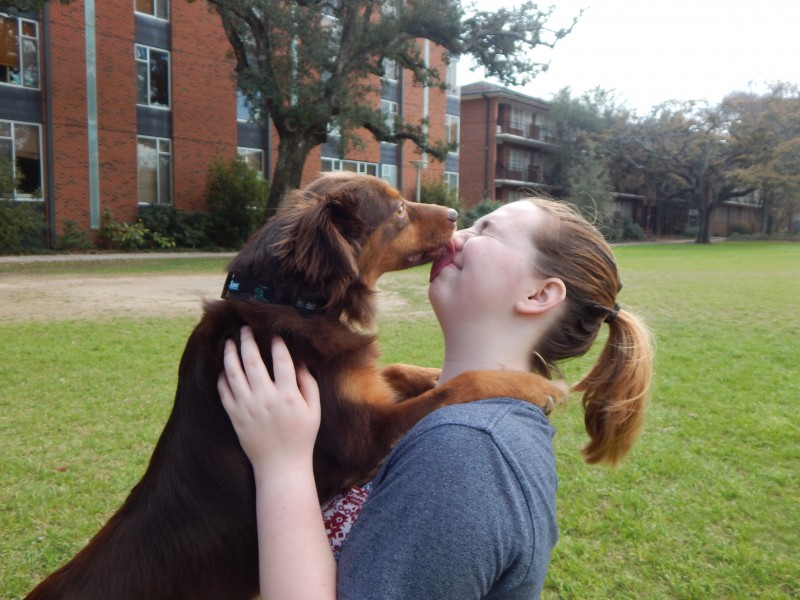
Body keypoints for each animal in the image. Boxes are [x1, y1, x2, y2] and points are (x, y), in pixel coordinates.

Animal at [26, 171, 564, 596]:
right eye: (396, 209)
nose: (456, 213)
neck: (288, 300)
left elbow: (399, 373)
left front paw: (433, 370)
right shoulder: (361, 441)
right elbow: (458, 386)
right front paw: (529, 384)